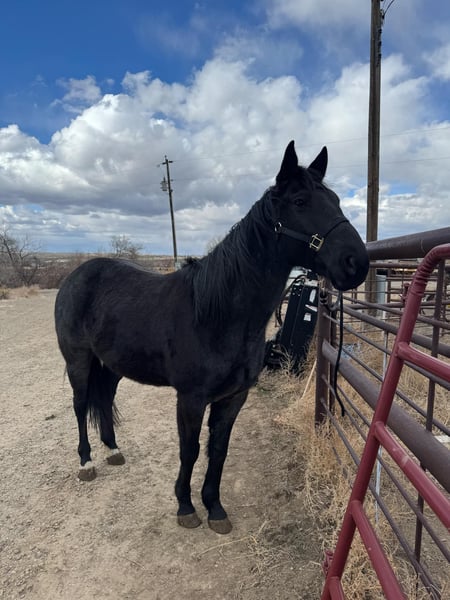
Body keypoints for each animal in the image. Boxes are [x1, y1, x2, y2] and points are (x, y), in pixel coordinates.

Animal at [54, 141, 369, 534]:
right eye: (300, 201)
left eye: (337, 200)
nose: (356, 262)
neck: (217, 315)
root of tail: (75, 275)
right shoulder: (190, 398)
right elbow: (189, 450)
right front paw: (186, 507)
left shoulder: (234, 397)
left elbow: (218, 450)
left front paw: (215, 508)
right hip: (78, 360)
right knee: (81, 404)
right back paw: (86, 463)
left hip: (112, 364)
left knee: (105, 397)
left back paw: (113, 450)